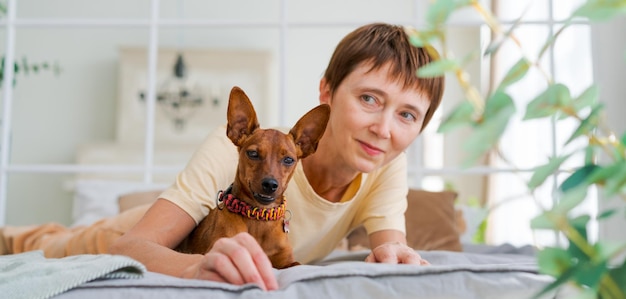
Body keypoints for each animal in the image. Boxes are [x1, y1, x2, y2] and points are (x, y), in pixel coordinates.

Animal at [176, 86, 330, 270]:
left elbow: (296, 265)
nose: (270, 184)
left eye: (288, 160)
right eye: (253, 154)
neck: (259, 218)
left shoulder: (287, 261)